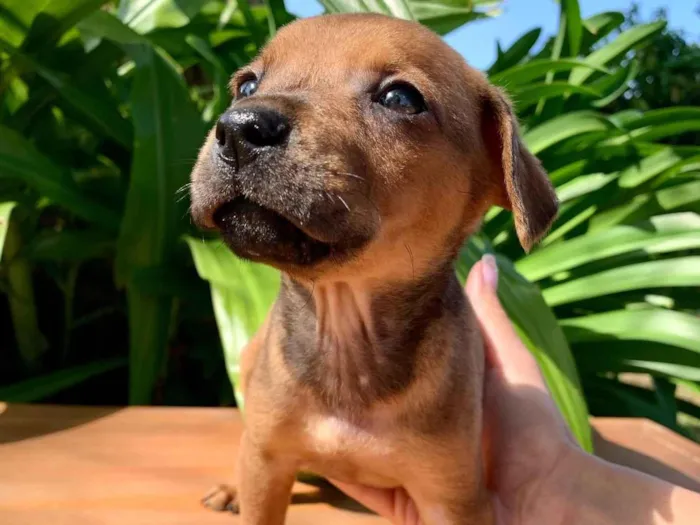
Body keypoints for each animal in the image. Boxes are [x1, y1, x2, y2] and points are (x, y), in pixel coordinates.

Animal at [190, 13, 556, 524]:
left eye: (401, 98)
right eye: (246, 86)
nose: (240, 128)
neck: (344, 334)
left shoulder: (452, 496)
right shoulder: (267, 460)